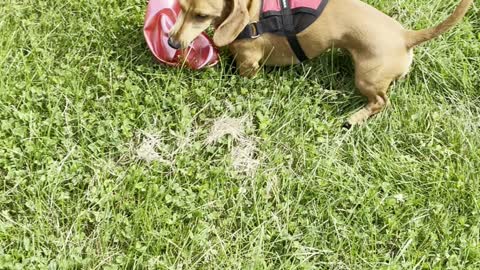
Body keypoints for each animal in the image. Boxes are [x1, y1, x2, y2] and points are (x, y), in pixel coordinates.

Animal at [169, 0, 472, 127]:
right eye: (181, 7)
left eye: (201, 15)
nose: (171, 42)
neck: (252, 13)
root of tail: (405, 36)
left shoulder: (249, 64)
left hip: (367, 78)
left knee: (381, 102)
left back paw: (355, 118)